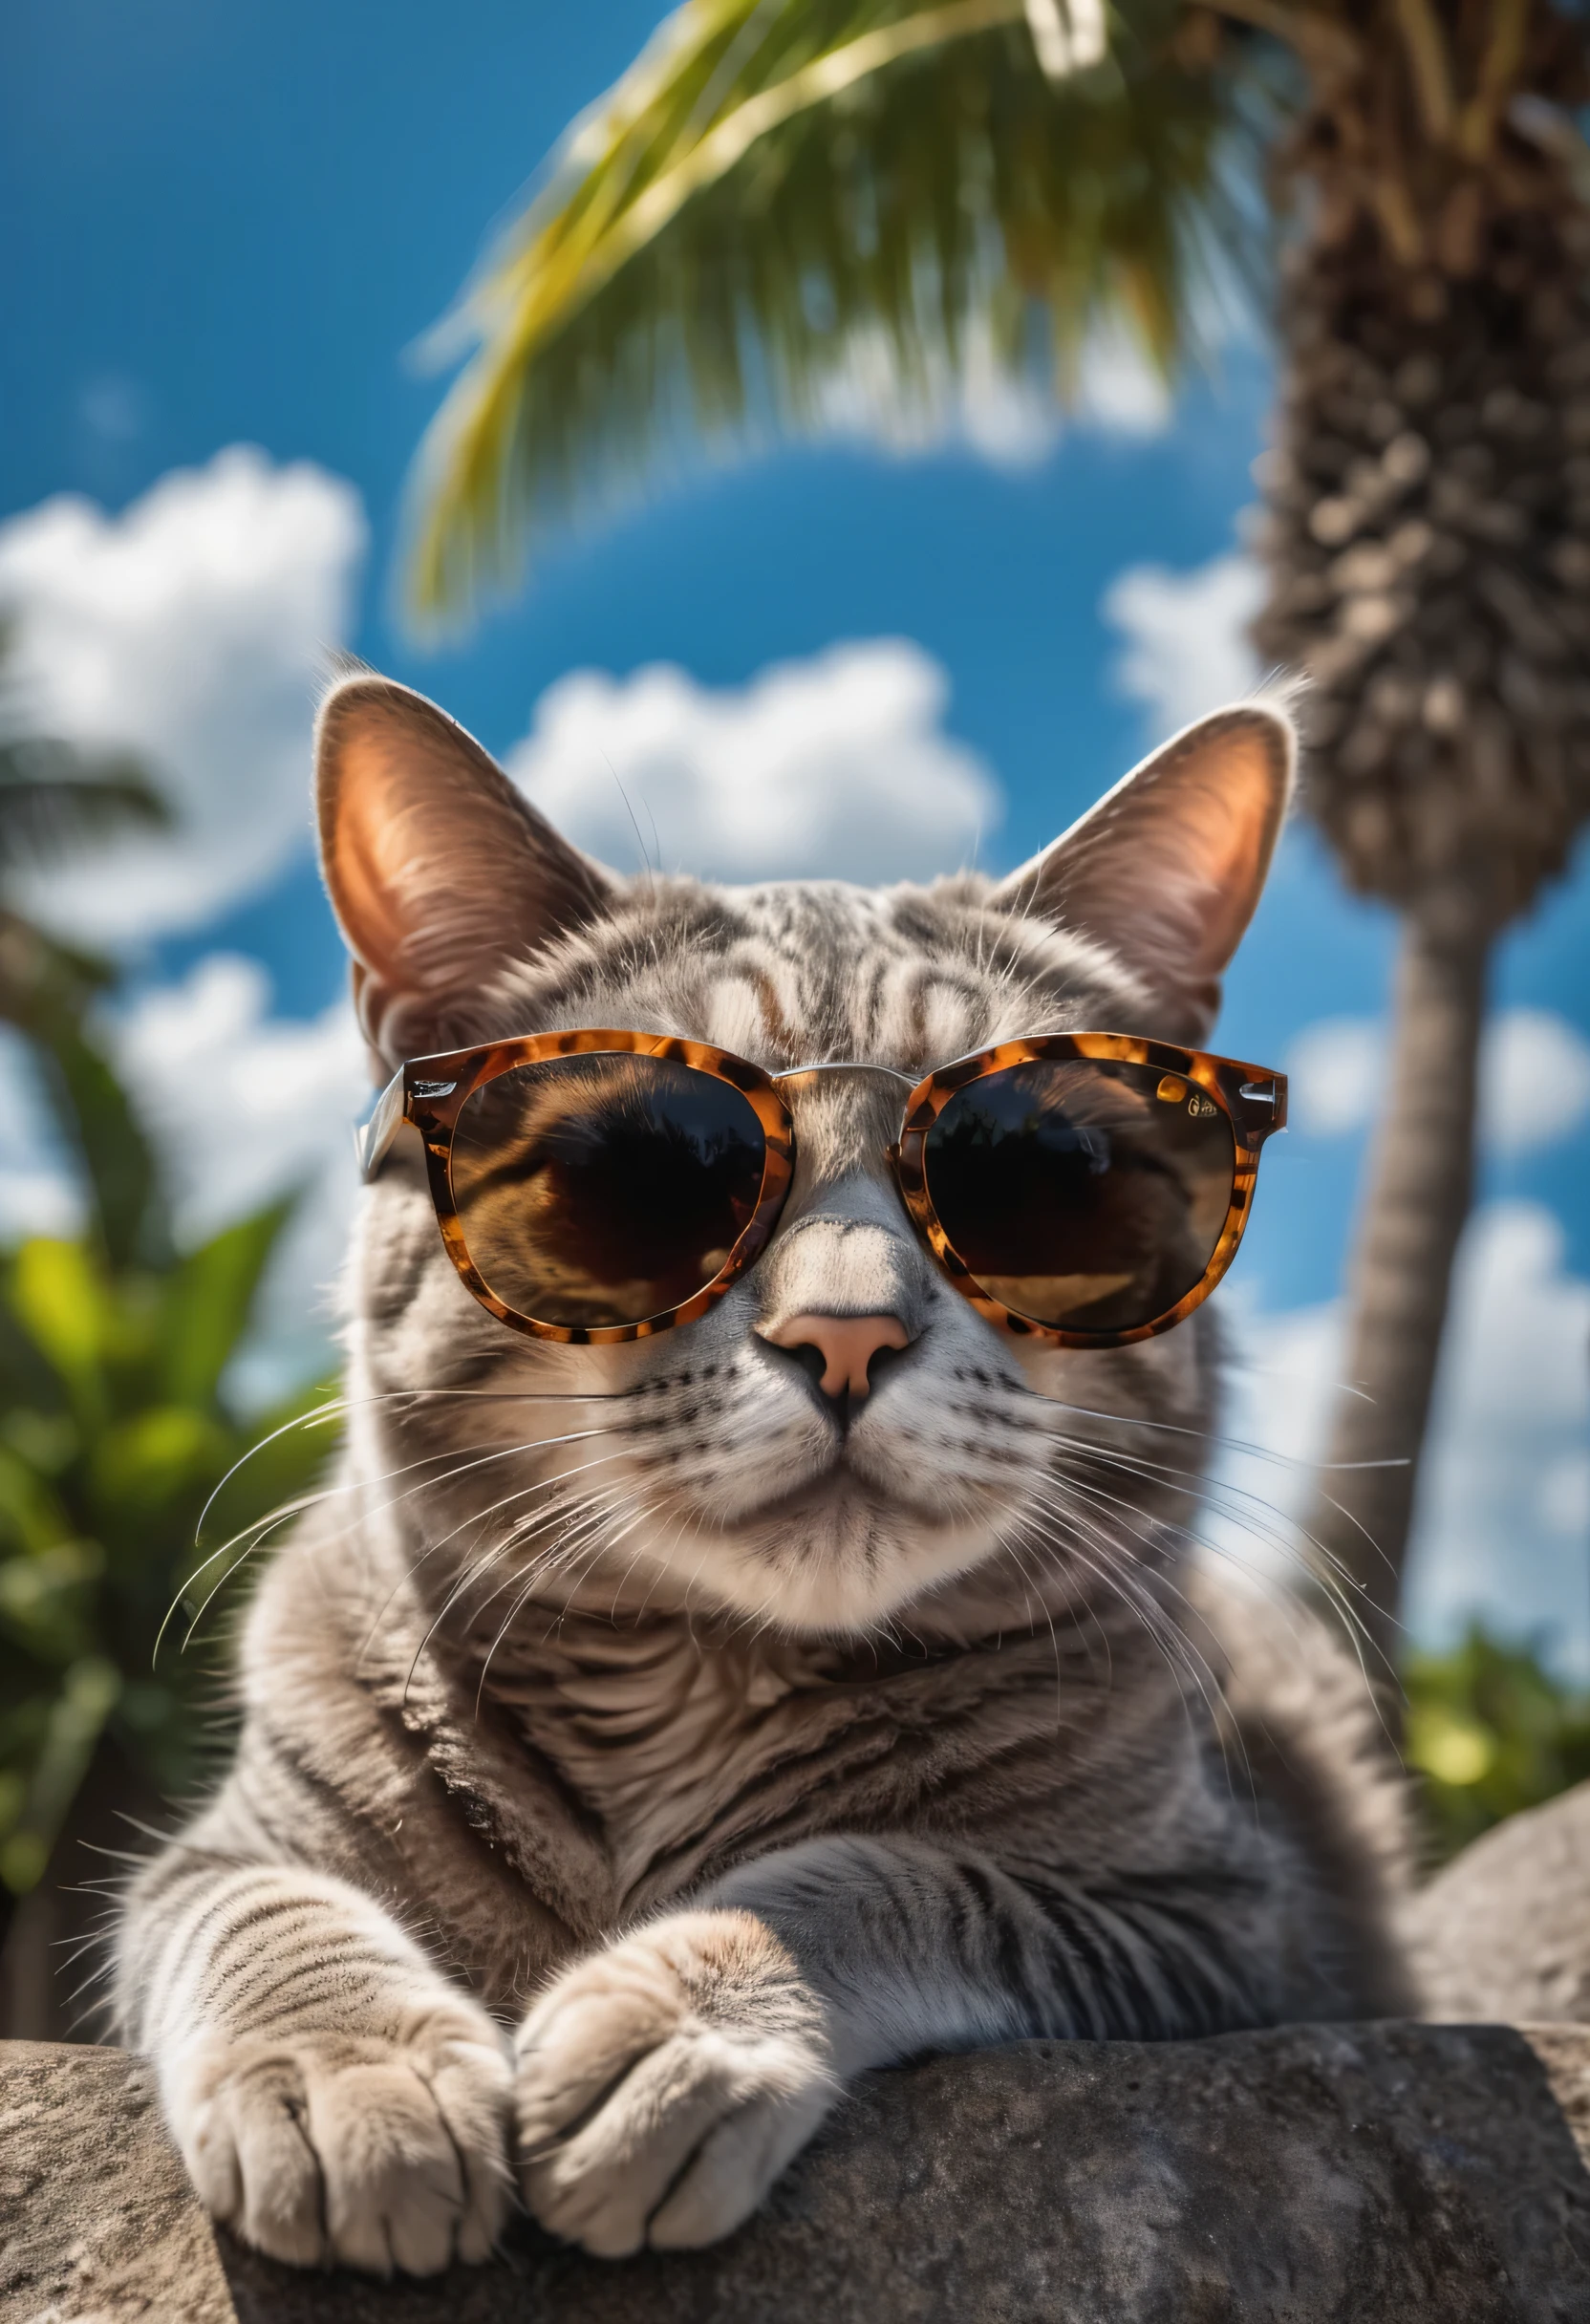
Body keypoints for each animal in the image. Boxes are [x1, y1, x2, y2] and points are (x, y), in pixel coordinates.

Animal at [111, 674, 1413, 2268]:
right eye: (645, 1162)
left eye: (1038, 1166)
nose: (845, 1328)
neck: (691, 1699)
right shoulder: (222, 1851)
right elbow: (262, 1910)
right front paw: (351, 2070)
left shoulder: (1229, 1922)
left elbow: (899, 1874)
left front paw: (687, 2017)